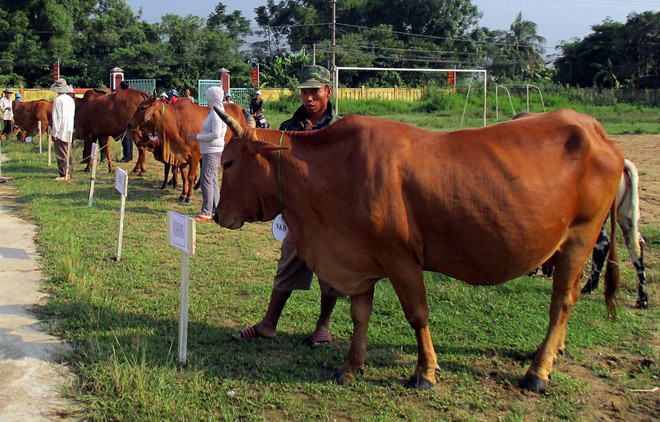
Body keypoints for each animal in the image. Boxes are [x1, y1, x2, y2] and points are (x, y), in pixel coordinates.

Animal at [214, 108, 628, 392]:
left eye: (229, 161)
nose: (218, 215)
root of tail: (599, 133)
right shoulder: (360, 257)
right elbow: (359, 316)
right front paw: (351, 367)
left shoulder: (401, 259)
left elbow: (417, 315)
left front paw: (425, 371)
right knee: (569, 297)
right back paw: (553, 352)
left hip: (580, 237)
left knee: (562, 301)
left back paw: (539, 371)